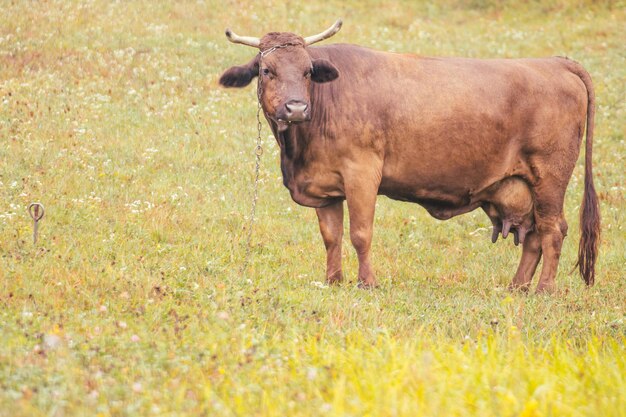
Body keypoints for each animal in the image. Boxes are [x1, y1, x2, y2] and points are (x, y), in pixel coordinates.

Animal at [217, 20, 596, 292]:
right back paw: (516, 287)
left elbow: (360, 232)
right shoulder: (325, 187)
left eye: (308, 71)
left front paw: (367, 282)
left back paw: (543, 289)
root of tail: (556, 63)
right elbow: (331, 236)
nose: (296, 108)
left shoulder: (362, 174)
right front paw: (333, 281)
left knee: (552, 230)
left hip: (549, 178)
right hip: (524, 186)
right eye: (267, 71)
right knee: (533, 234)